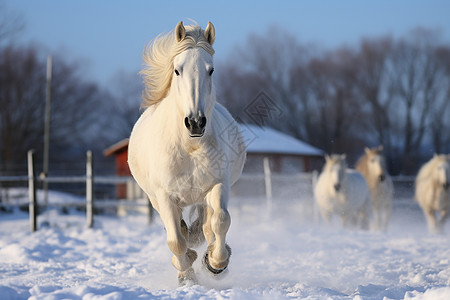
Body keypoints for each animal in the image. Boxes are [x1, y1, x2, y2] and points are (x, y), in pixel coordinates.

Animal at [126, 21, 246, 284]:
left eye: (211, 70)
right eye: (177, 70)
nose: (195, 123)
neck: (189, 147)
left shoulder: (218, 185)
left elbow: (221, 221)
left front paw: (216, 264)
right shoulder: (164, 196)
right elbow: (176, 241)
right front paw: (187, 274)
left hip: (202, 198)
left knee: (208, 225)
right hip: (156, 199)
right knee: (179, 232)